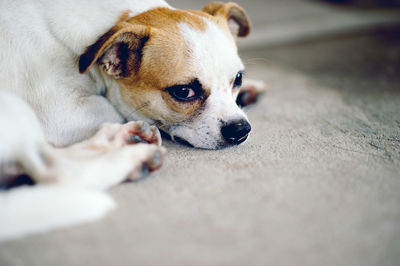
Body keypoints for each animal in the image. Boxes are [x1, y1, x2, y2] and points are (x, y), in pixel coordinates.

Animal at [0, 0, 266, 240]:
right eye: (183, 91)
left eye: (238, 78)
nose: (240, 129)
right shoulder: (64, 113)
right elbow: (115, 110)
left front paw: (249, 91)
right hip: (17, 109)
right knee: (58, 173)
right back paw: (131, 158)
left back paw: (117, 138)